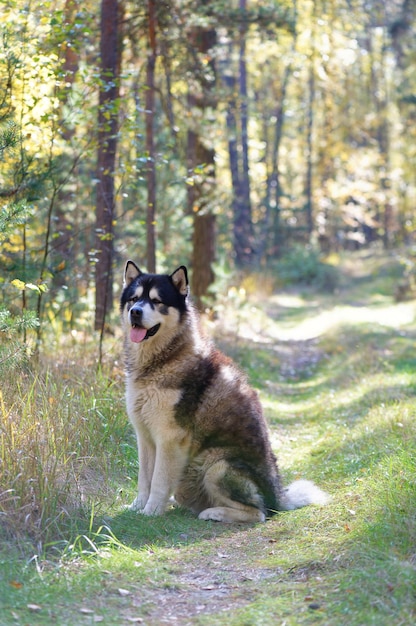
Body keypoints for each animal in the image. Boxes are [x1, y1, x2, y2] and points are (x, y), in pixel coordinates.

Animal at [121, 262, 332, 520]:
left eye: (156, 301)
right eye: (134, 299)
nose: (135, 312)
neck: (163, 360)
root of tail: (279, 497)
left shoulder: (169, 437)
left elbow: (159, 481)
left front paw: (150, 512)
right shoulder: (144, 435)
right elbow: (144, 478)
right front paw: (137, 507)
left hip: (216, 464)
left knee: (258, 512)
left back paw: (213, 513)